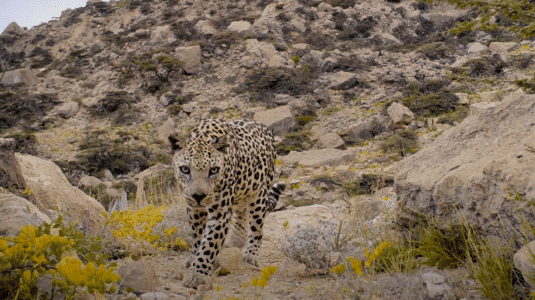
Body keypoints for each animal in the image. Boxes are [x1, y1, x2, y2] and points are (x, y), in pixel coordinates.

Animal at [169, 117, 286, 288]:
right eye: (185, 169)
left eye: (213, 170)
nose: (198, 196)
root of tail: (264, 127)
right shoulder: (194, 209)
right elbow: (198, 237)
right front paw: (194, 258)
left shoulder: (220, 212)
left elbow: (209, 243)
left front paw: (198, 275)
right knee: (241, 212)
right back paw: (237, 240)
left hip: (259, 194)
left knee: (257, 227)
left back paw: (251, 255)